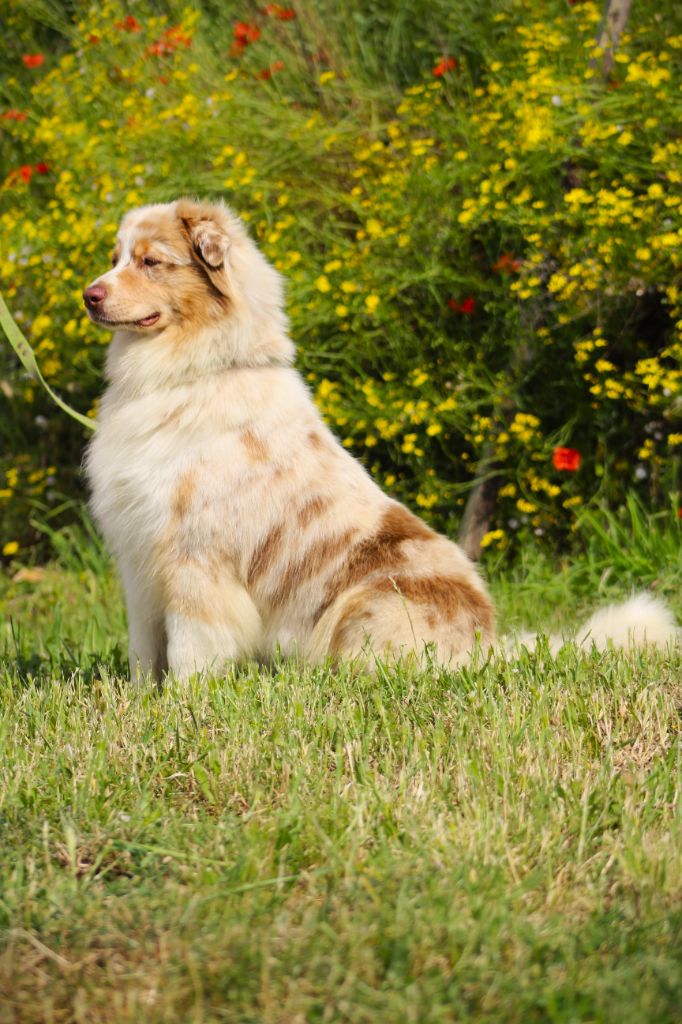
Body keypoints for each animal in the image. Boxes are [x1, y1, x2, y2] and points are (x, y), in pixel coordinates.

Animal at [82, 199, 675, 679]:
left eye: (151, 261)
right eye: (115, 257)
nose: (88, 295)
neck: (191, 372)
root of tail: (489, 645)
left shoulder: (195, 557)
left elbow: (191, 650)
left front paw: (186, 701)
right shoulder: (140, 559)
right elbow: (142, 651)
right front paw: (142, 700)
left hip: (366, 600)